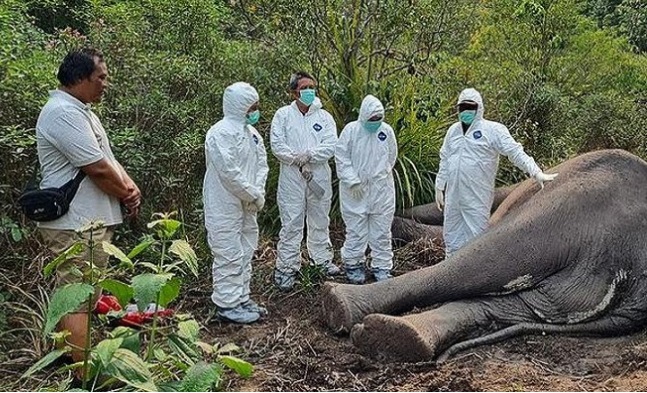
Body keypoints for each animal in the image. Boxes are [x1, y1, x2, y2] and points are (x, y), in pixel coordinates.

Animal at [324, 149, 647, 362]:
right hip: (575, 285)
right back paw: (394, 337)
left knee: (488, 257)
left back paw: (342, 305)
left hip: (570, 208)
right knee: (518, 303)